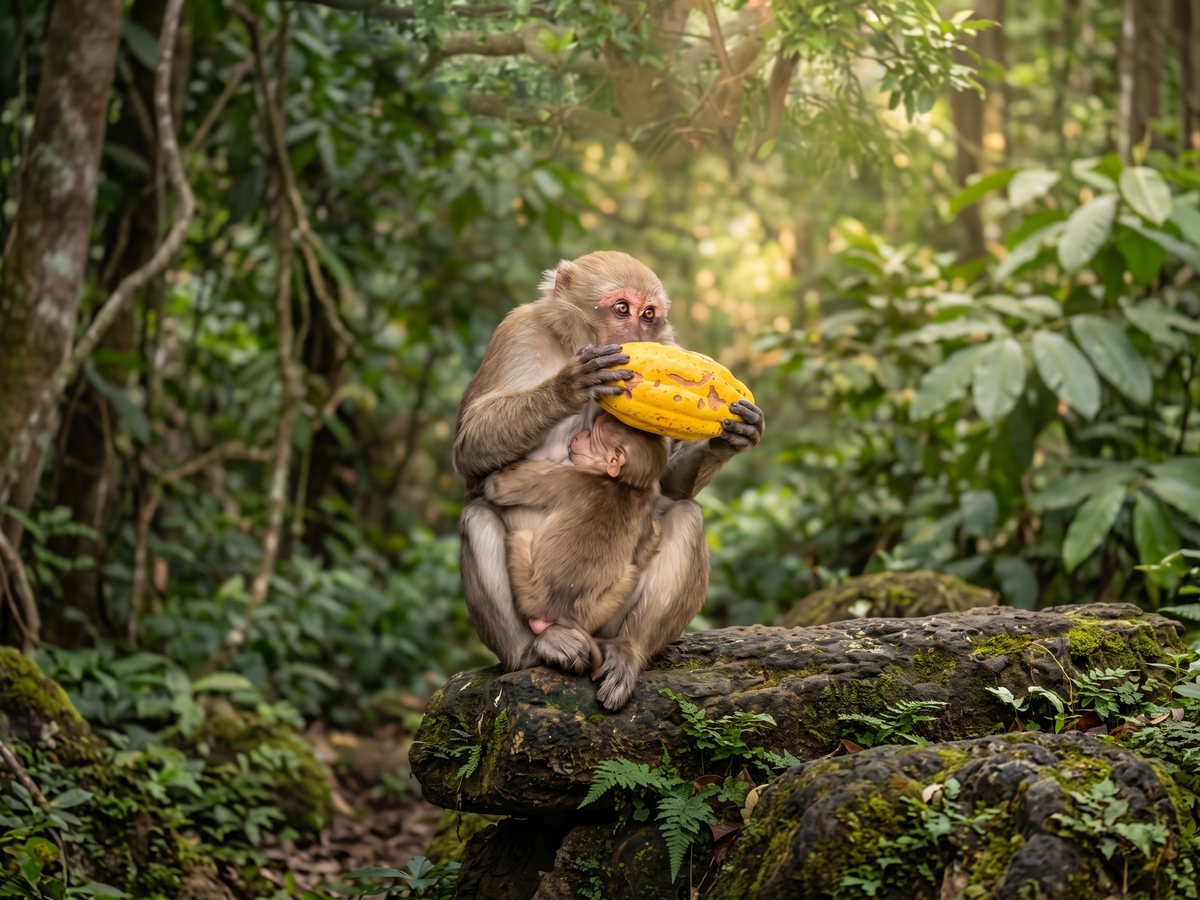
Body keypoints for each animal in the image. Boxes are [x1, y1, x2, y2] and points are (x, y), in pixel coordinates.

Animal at [483, 413, 668, 688]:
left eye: (592, 436)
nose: (579, 434)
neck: (624, 483)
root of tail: (556, 611)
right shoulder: (645, 505)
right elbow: (646, 544)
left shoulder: (570, 476)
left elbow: (499, 487)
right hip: (596, 610)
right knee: (632, 572)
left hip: (526, 583)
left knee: (520, 536)